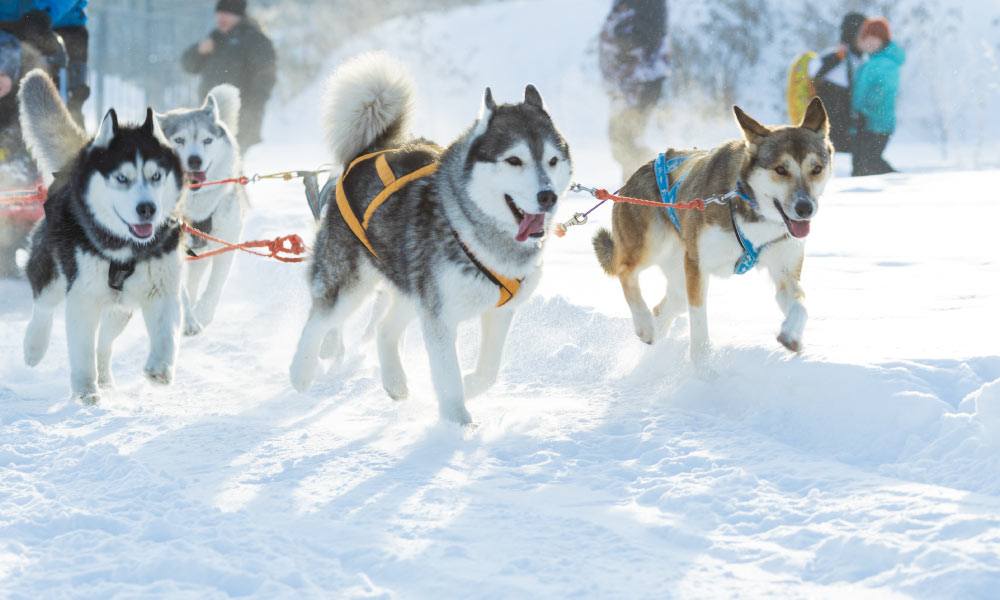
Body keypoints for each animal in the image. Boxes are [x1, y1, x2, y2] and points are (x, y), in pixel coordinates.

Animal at [596, 97, 832, 366]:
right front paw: (702, 366)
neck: (748, 209)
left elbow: (800, 306)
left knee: (666, 305)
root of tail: (634, 175)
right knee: (626, 272)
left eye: (816, 168)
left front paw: (792, 336)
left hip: (677, 274)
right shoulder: (698, 266)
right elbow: (699, 322)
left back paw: (654, 337)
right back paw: (645, 325)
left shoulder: (785, 272)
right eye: (781, 169)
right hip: (651, 246)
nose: (805, 208)